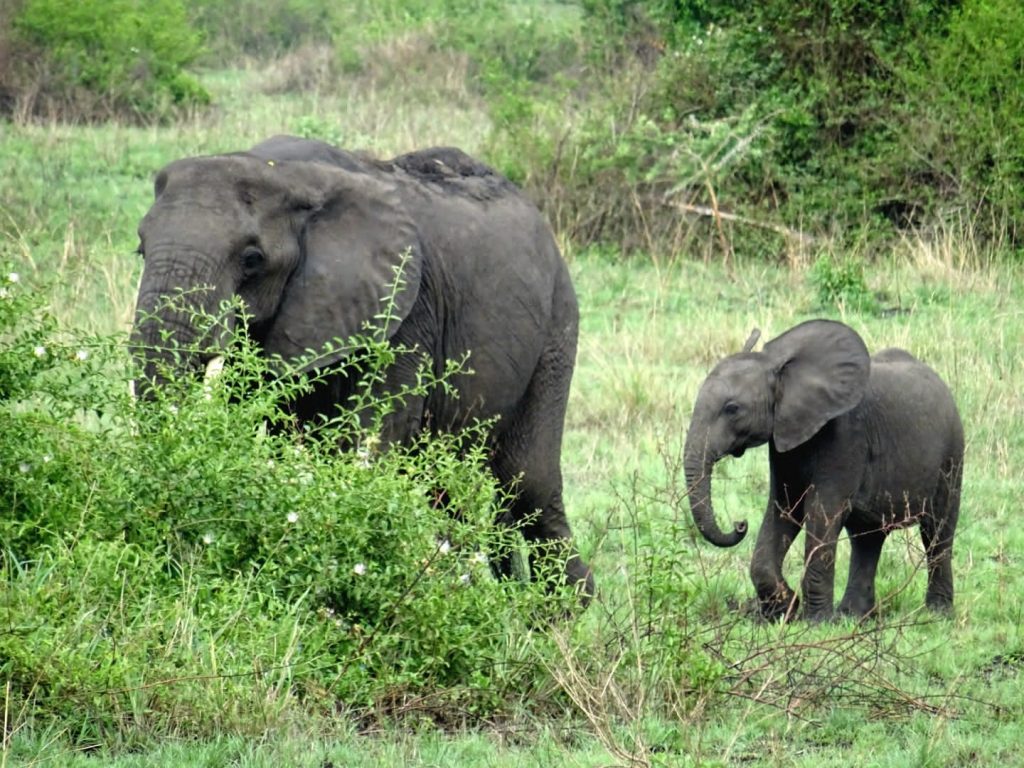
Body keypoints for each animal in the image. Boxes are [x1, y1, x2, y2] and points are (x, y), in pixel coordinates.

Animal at [131, 134, 594, 606]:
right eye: (140, 249)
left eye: (252, 259)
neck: (284, 173)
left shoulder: (406, 310)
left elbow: (371, 445)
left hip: (557, 327)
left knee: (527, 483)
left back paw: (560, 614)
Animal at [683, 319, 964, 622]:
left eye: (732, 408)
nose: (740, 524)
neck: (780, 367)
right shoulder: (785, 438)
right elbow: (784, 509)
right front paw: (785, 610)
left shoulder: (846, 435)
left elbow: (821, 511)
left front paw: (815, 622)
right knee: (867, 538)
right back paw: (853, 616)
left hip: (951, 456)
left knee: (937, 532)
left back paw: (937, 614)